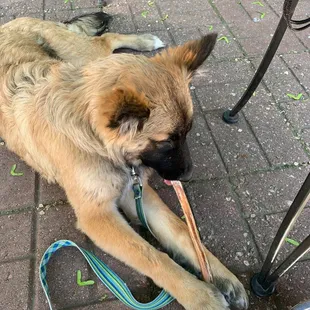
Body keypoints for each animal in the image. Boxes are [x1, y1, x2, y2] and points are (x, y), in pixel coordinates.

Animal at [0, 12, 247, 310]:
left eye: (187, 133)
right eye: (167, 141)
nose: (187, 175)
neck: (93, 139)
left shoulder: (136, 192)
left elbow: (181, 232)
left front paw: (220, 274)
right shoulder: (98, 217)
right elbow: (153, 257)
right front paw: (200, 295)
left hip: (82, 58)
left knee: (107, 39)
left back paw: (145, 41)